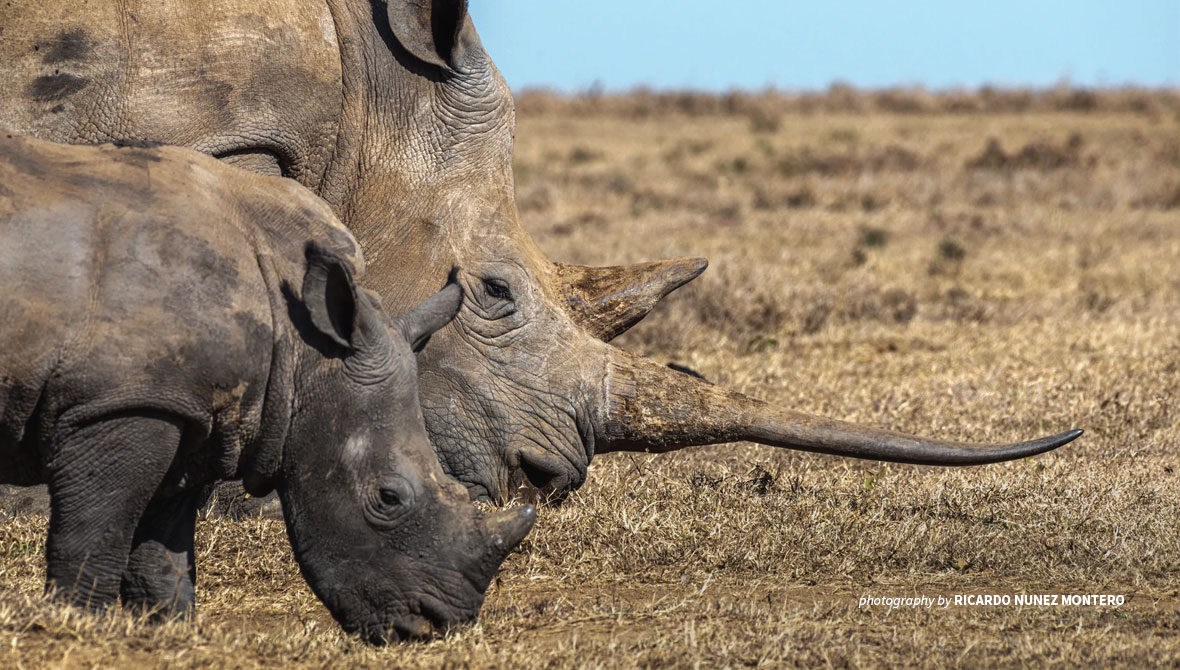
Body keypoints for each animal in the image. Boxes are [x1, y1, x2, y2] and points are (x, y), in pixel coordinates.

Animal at [0, 135, 535, 641]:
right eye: (388, 498)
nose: (436, 625)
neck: (306, 350)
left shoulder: (190, 409)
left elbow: (164, 548)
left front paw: (169, 628)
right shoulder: (122, 401)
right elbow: (96, 531)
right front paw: (79, 622)